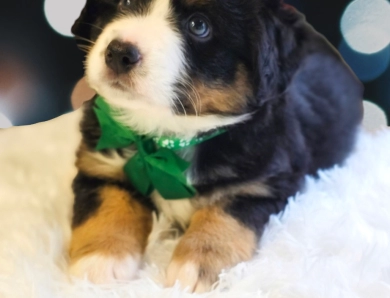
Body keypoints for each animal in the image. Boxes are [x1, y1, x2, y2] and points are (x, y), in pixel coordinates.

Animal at [69, 0, 362, 292]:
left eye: (199, 25)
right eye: (126, 2)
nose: (119, 53)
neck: (170, 138)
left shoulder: (262, 182)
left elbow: (224, 214)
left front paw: (197, 264)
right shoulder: (99, 164)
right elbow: (108, 205)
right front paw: (100, 261)